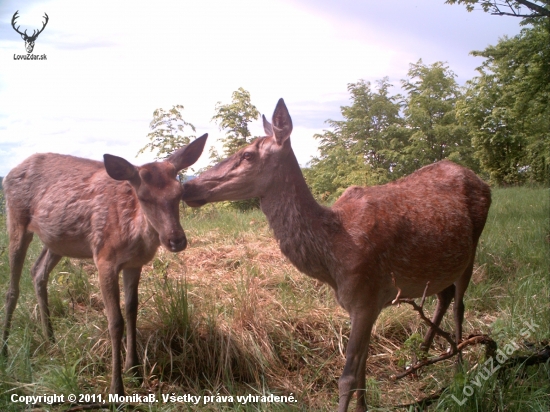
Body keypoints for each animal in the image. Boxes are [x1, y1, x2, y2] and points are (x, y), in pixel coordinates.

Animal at [2, 135, 208, 396]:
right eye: (143, 197)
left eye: (180, 192)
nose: (176, 240)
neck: (134, 234)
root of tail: (9, 174)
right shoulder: (104, 259)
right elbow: (115, 321)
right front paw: (117, 388)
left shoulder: (134, 264)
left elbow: (132, 311)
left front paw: (135, 370)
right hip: (16, 220)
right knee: (12, 289)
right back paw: (5, 350)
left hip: (57, 241)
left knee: (37, 271)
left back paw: (50, 340)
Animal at [183, 100, 494, 412]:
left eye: (247, 154)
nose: (187, 185)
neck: (330, 258)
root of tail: (484, 182)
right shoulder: (367, 303)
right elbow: (362, 369)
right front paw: (364, 408)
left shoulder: (365, 297)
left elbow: (347, 377)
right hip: (440, 267)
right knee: (445, 296)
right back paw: (419, 359)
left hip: (472, 249)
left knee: (459, 306)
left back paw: (459, 368)